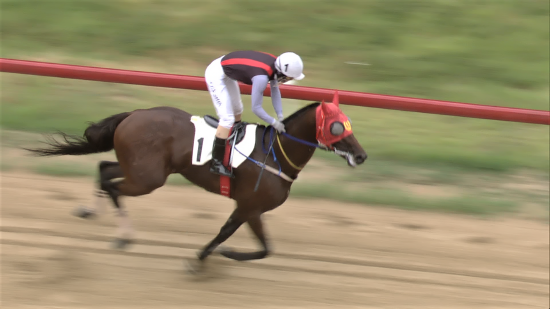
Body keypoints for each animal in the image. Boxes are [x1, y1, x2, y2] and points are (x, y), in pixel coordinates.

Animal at [27, 93, 370, 272]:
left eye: (349, 125)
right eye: (338, 127)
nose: (361, 155)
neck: (275, 155)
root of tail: (134, 113)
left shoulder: (249, 208)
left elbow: (259, 247)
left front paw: (218, 255)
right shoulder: (250, 205)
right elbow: (242, 240)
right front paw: (206, 258)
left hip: (141, 170)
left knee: (104, 169)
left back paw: (90, 211)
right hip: (148, 179)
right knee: (113, 184)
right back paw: (123, 236)